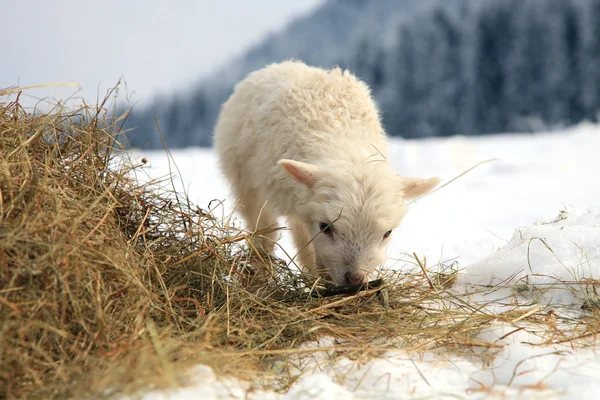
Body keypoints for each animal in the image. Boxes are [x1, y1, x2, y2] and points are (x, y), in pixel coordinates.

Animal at [213, 59, 438, 286]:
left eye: (387, 233)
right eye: (325, 227)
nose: (354, 280)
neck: (342, 138)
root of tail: (283, 64)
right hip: (246, 181)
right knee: (263, 229)